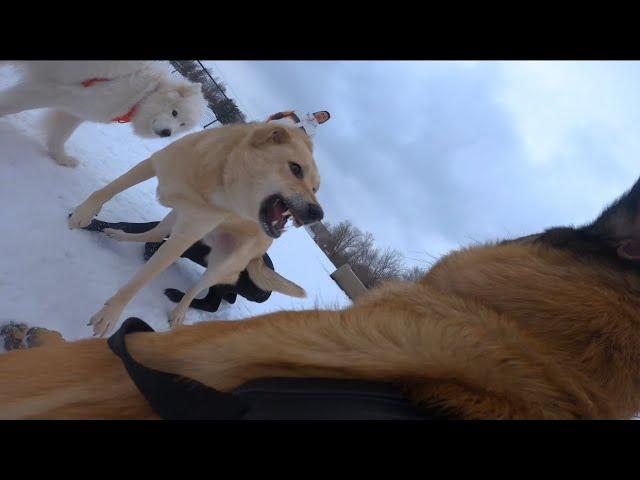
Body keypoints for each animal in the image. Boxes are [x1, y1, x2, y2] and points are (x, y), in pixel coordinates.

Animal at [0, 61, 206, 168]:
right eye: (174, 112)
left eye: (182, 125)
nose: (167, 133)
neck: (142, 94)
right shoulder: (61, 92)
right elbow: (16, 104)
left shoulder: (78, 110)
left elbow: (61, 136)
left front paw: (62, 158)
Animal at [67, 122, 322, 336]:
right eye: (295, 168)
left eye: (315, 188)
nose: (317, 214)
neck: (217, 178)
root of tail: (260, 255)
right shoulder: (154, 163)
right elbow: (109, 189)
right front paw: (85, 213)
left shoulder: (184, 238)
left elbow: (140, 281)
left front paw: (111, 313)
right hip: (176, 216)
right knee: (154, 233)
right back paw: (118, 235)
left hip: (220, 264)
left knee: (196, 290)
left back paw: (179, 311)